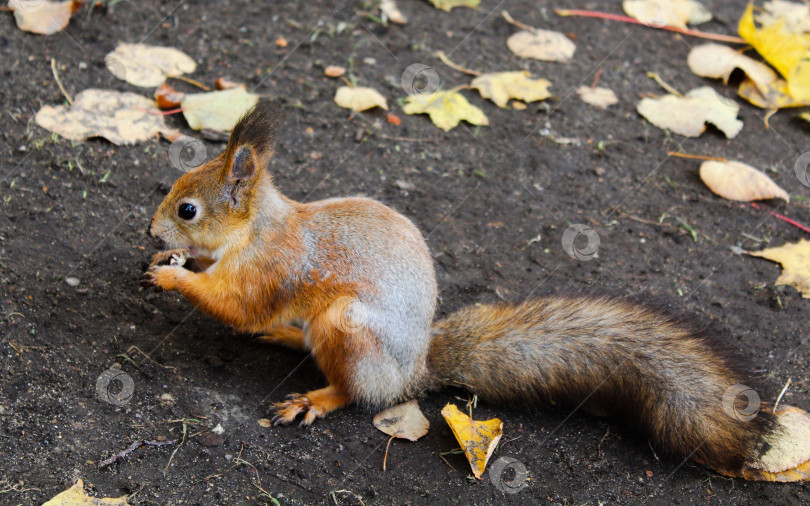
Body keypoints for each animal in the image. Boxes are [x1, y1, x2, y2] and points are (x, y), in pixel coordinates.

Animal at [145, 102, 796, 478]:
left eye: (187, 208)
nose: (150, 231)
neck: (257, 227)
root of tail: (414, 372)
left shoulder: (272, 267)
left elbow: (236, 303)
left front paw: (173, 273)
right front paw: (166, 259)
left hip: (348, 330)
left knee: (359, 393)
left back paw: (317, 397)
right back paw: (284, 338)